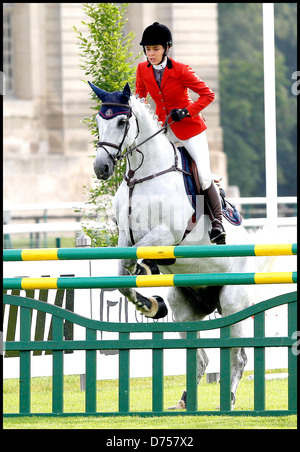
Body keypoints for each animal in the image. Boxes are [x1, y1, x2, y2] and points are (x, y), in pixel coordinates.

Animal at [87, 80, 272, 410]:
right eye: (99, 120)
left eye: (121, 122)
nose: (102, 168)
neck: (143, 175)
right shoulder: (125, 237)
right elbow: (122, 278)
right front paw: (149, 306)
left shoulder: (167, 236)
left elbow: (141, 255)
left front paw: (149, 271)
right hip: (186, 308)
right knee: (199, 357)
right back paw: (185, 401)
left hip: (232, 300)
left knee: (238, 356)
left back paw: (230, 399)